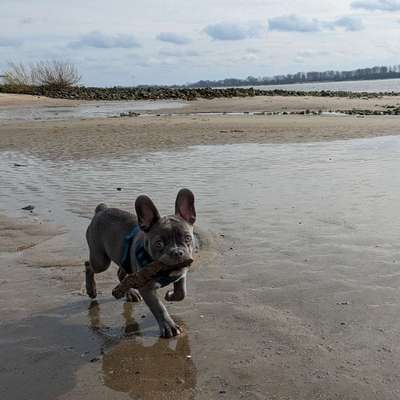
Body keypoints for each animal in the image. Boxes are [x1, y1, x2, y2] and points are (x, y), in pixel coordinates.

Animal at [85, 188, 196, 338]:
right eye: (159, 244)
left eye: (188, 238)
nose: (177, 252)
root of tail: (101, 210)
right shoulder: (147, 289)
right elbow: (158, 307)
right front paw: (169, 326)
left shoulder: (181, 275)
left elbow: (182, 293)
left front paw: (170, 295)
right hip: (101, 261)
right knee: (89, 266)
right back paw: (91, 289)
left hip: (124, 260)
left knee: (122, 274)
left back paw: (130, 293)